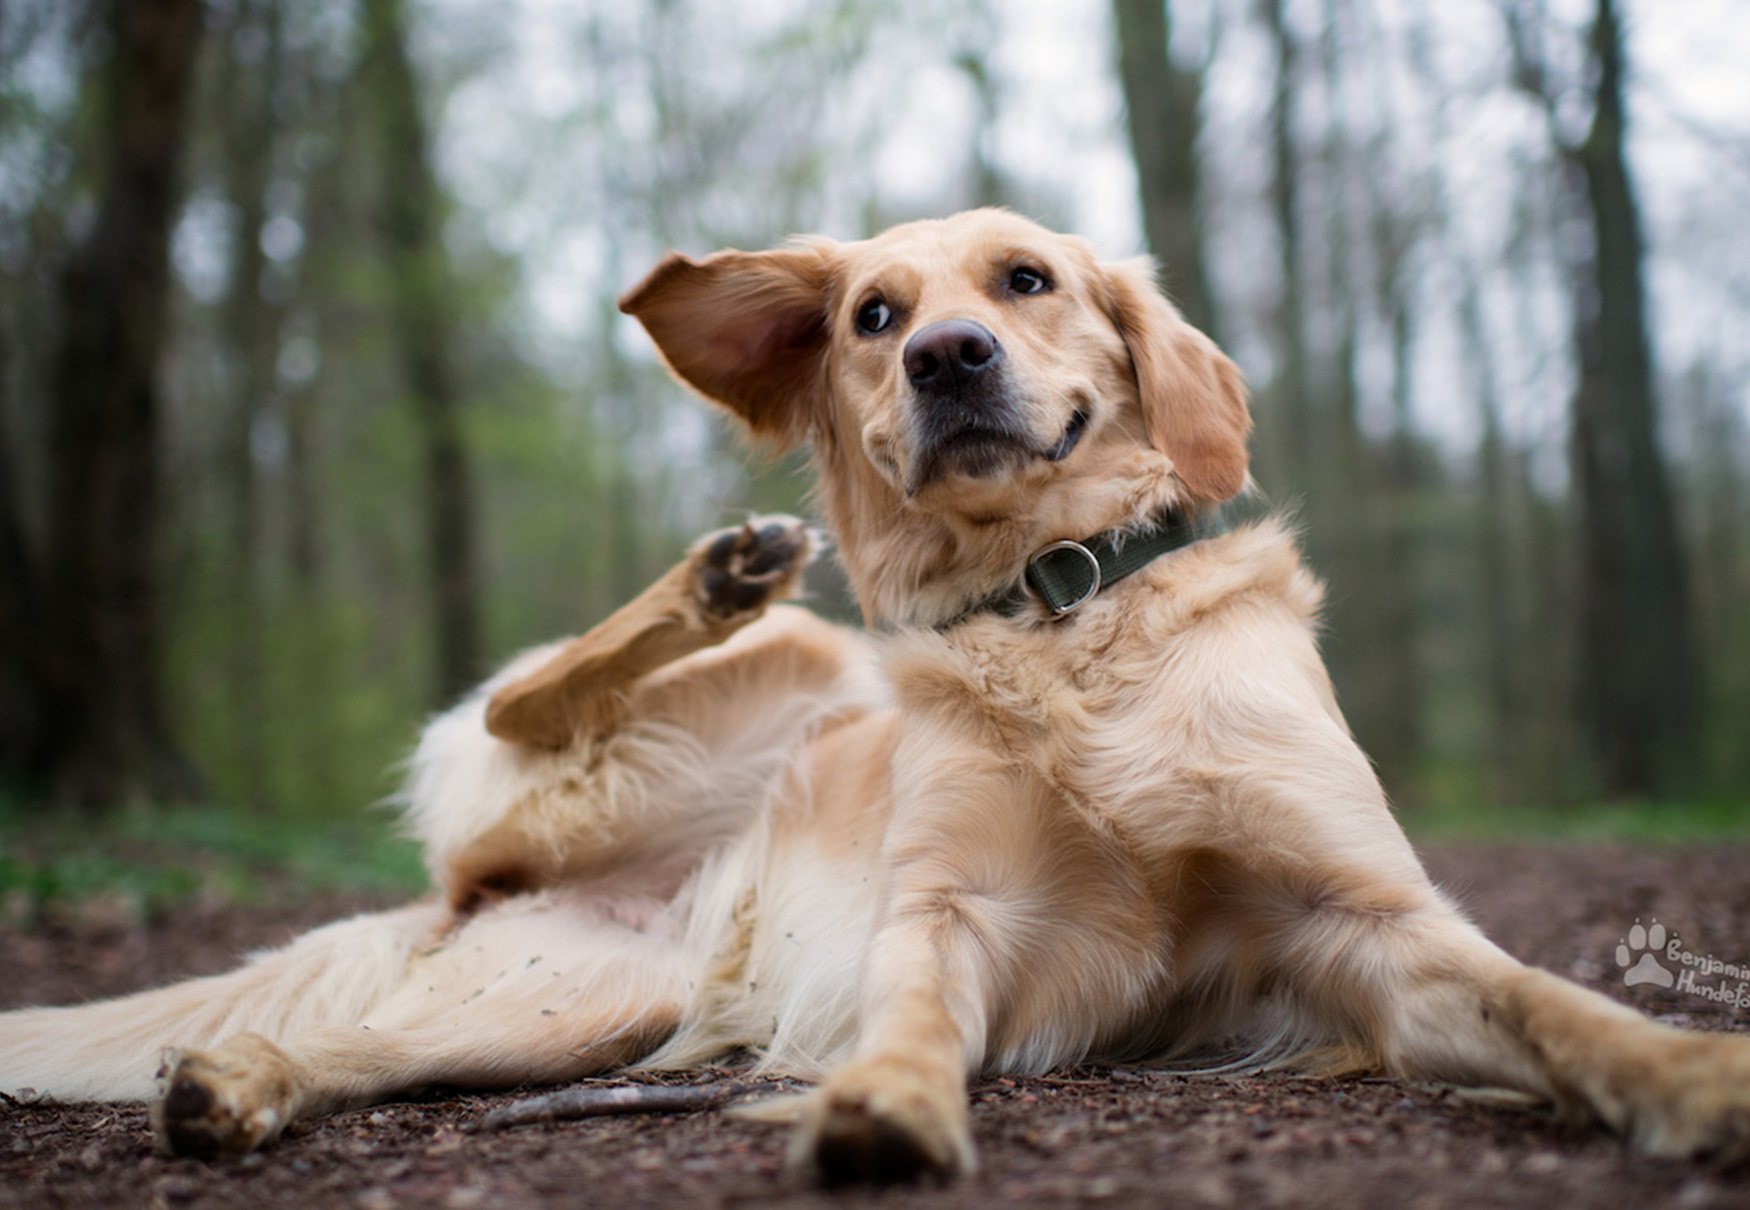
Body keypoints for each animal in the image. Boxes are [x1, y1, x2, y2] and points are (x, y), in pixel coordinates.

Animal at [3, 211, 1750, 1183]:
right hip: (787, 680)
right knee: (519, 712)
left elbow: (1550, 1003)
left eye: (1027, 280)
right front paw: (881, 1103)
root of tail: (480, 887)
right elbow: (912, 1010)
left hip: (565, 1003)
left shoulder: (1368, 923)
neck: (1059, 608)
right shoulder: (944, 906)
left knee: (359, 1045)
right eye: (871, 314)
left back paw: (239, 1081)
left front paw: (1682, 1074)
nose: (949, 357)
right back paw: (718, 575)